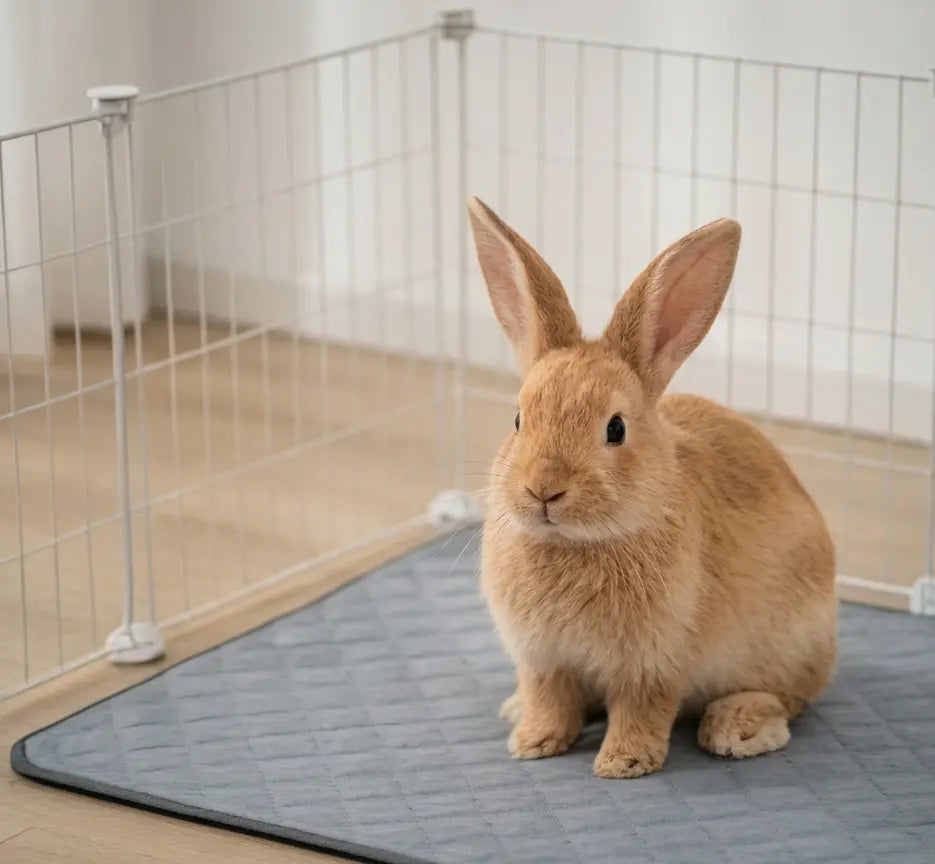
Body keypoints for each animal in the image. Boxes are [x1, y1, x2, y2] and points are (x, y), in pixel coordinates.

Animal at [467, 196, 837, 779]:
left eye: (616, 428)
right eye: (519, 419)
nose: (544, 490)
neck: (577, 542)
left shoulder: (654, 662)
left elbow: (643, 710)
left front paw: (623, 763)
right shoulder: (544, 659)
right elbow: (550, 699)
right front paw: (532, 741)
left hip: (792, 644)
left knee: (789, 699)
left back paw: (736, 728)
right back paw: (513, 710)